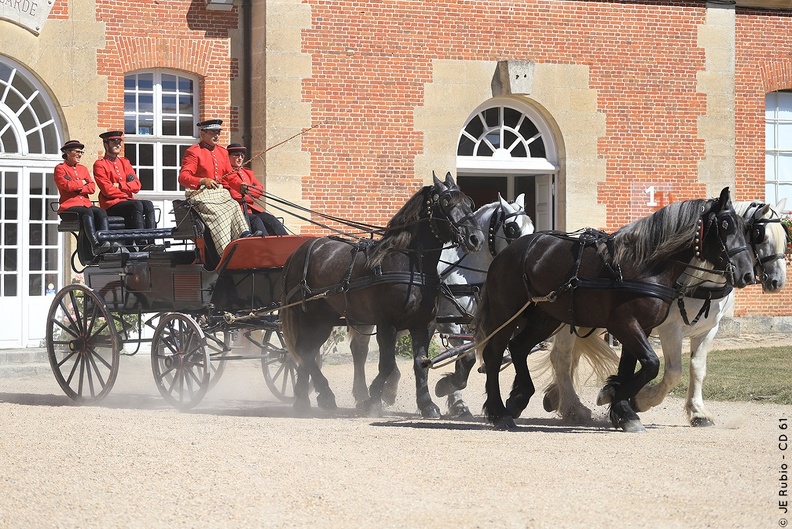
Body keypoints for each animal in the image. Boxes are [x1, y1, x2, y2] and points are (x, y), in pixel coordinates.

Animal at [282, 173, 486, 416]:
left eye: (469, 204)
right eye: (446, 202)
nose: (476, 238)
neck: (413, 265)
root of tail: (303, 249)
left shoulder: (424, 324)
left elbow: (421, 363)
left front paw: (427, 404)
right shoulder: (387, 324)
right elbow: (388, 365)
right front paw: (372, 400)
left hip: (324, 319)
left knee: (307, 352)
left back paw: (304, 399)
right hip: (313, 318)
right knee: (305, 352)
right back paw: (323, 395)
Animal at [346, 192, 532, 414]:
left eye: (532, 227)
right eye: (512, 228)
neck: (464, 272)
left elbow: (462, 357)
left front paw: (458, 403)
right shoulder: (449, 321)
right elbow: (465, 357)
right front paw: (446, 387)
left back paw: (388, 388)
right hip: (367, 317)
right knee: (360, 349)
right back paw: (363, 394)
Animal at [474, 188, 756, 432]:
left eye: (746, 230)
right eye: (725, 226)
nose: (747, 274)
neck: (644, 264)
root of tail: (507, 252)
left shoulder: (642, 327)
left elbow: (632, 367)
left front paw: (622, 408)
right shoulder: (627, 324)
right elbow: (652, 364)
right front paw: (618, 397)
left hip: (545, 318)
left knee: (519, 347)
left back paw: (520, 398)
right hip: (507, 313)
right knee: (494, 354)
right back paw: (499, 412)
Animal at [540, 200, 788, 426]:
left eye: (786, 238)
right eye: (760, 235)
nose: (777, 281)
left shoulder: (708, 330)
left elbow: (698, 368)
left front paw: (698, 412)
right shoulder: (670, 329)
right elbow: (673, 372)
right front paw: (640, 400)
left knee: (571, 356)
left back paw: (556, 396)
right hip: (567, 320)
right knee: (561, 356)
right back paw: (573, 407)